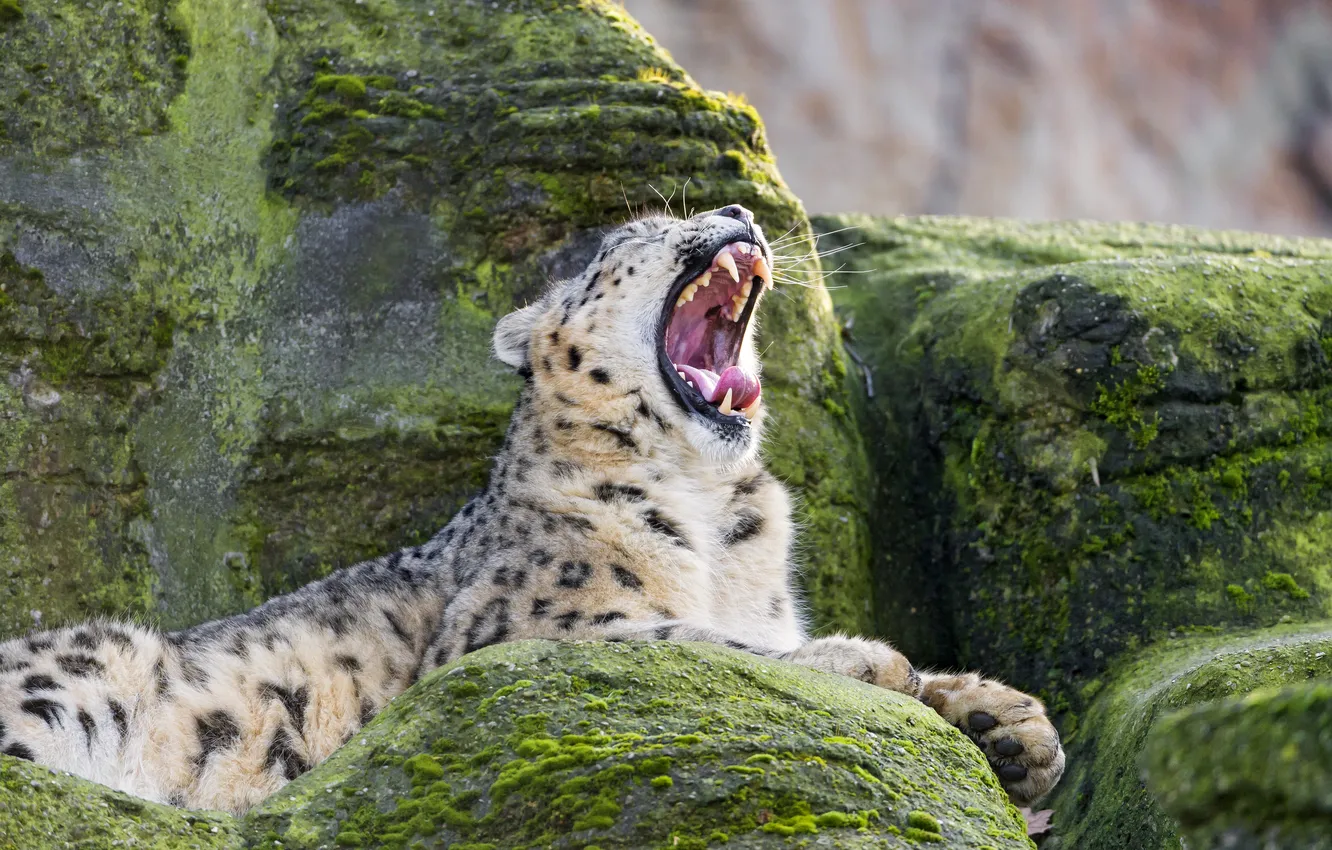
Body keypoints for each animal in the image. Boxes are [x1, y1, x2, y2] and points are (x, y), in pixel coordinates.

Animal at [0, 204, 1063, 816]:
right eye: (622, 238)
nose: (735, 205)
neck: (714, 516)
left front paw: (1012, 725)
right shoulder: (518, 632)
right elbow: (687, 640)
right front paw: (866, 661)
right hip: (91, 672)